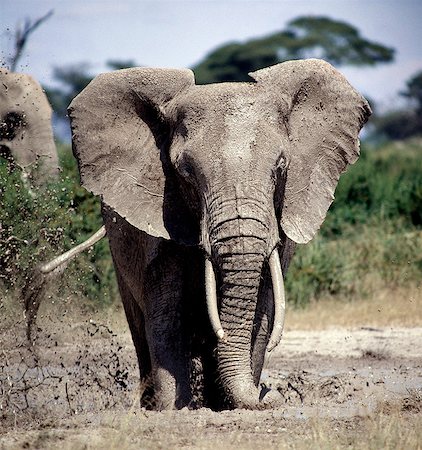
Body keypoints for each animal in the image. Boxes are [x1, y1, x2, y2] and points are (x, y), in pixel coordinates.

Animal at [67, 58, 370, 410]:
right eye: (185, 172)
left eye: (281, 166)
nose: (273, 395)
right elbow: (165, 309)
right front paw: (173, 408)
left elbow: (263, 307)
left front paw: (233, 402)